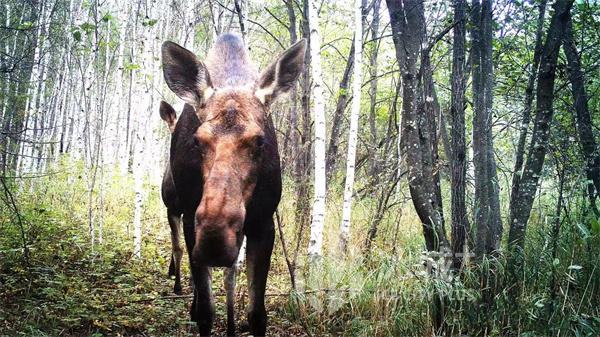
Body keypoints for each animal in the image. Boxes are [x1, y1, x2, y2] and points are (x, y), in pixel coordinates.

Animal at [161, 33, 304, 334]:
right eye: (197, 140)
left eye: (259, 141)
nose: (215, 239)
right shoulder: (190, 218)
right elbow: (206, 311)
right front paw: (200, 311)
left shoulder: (263, 224)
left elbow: (257, 315)